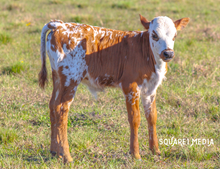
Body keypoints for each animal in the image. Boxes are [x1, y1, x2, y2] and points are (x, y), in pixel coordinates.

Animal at [38, 14, 189, 162]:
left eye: (175, 35)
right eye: (154, 35)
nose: (168, 53)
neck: (148, 54)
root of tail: (59, 24)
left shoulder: (150, 89)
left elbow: (152, 117)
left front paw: (155, 151)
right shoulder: (130, 86)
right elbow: (135, 118)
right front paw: (135, 154)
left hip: (58, 78)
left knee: (53, 106)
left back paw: (54, 152)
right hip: (71, 78)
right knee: (61, 110)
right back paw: (66, 156)